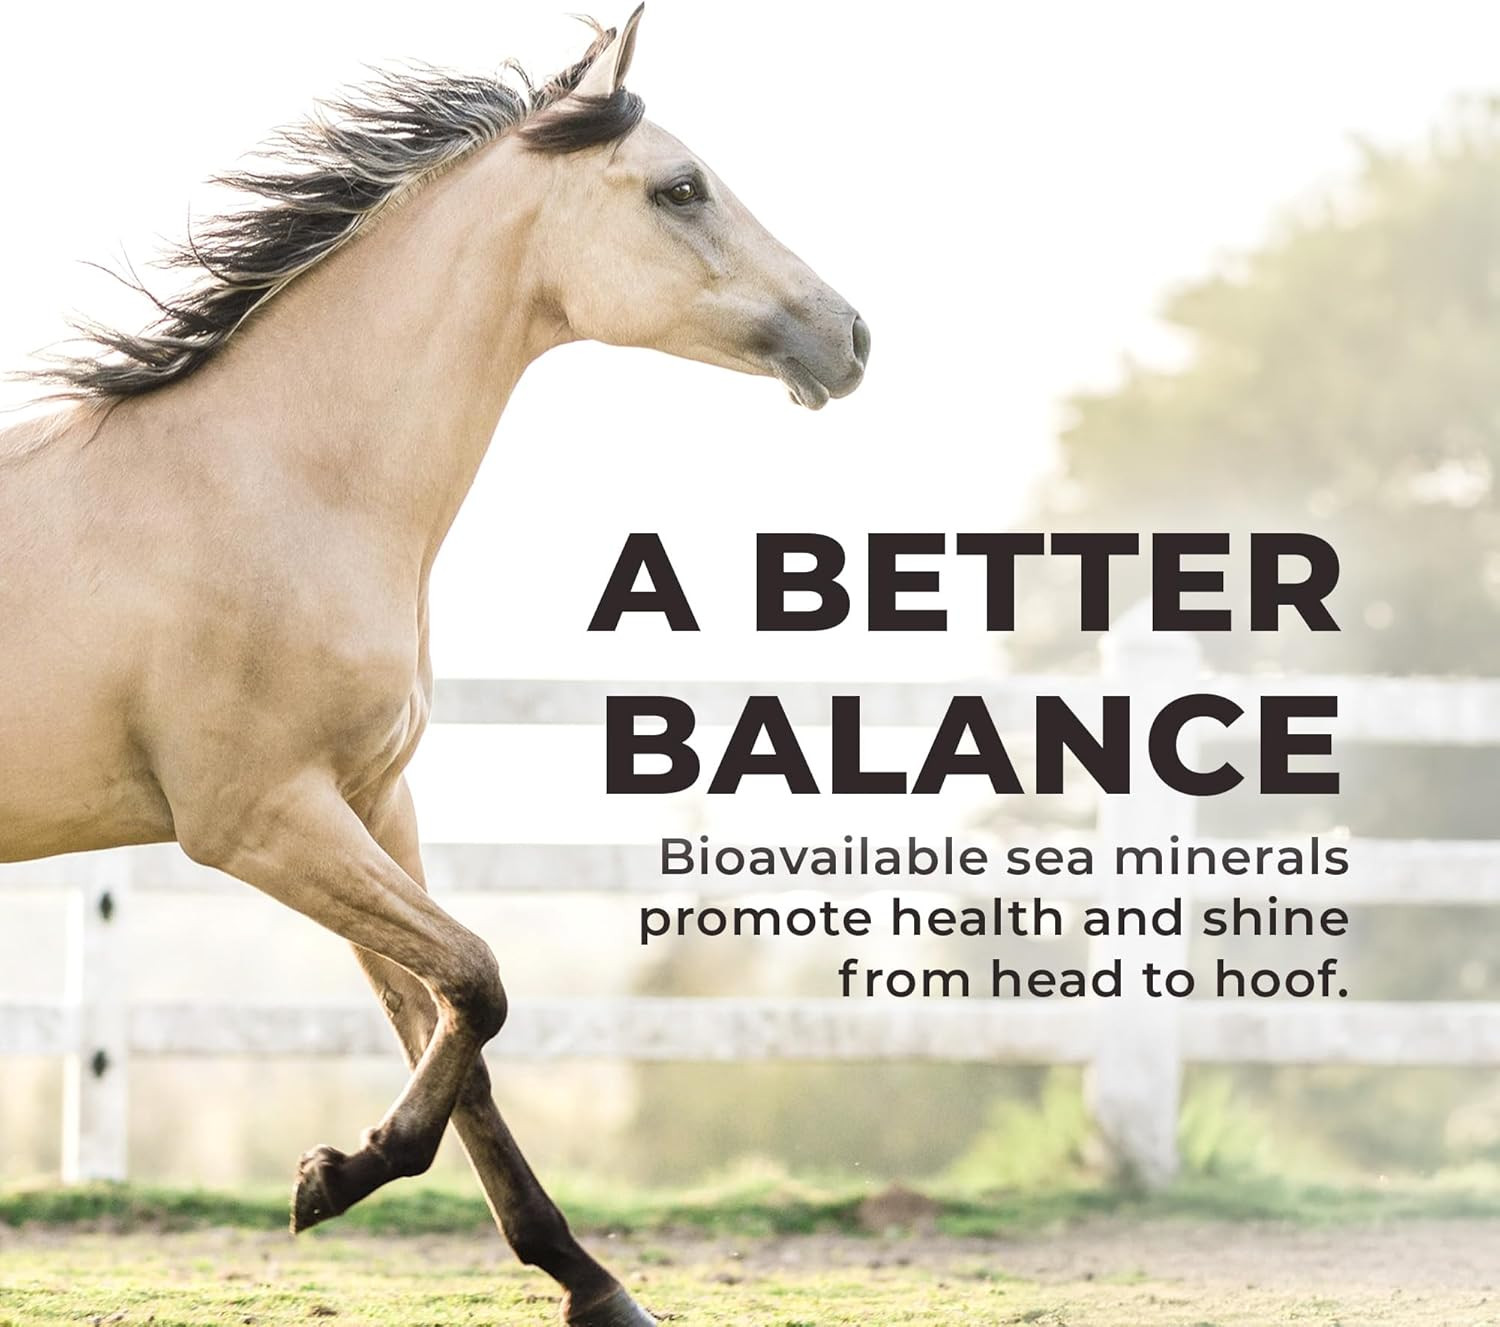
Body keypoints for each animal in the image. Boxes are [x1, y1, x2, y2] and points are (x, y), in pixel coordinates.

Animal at [0, 9, 866, 1324]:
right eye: (682, 188)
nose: (851, 335)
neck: (277, 481)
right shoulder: (261, 819)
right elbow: (483, 979)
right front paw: (334, 1175)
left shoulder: (366, 800)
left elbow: (453, 1030)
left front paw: (590, 1282)